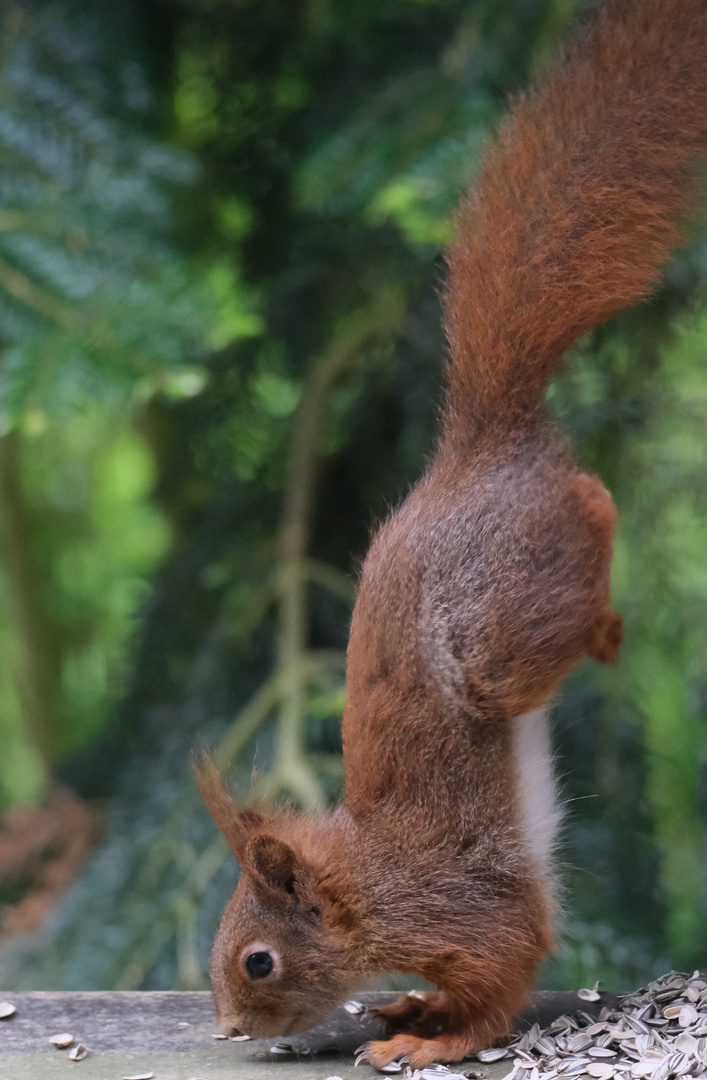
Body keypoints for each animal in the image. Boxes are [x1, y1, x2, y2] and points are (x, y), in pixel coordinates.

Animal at [196, 0, 707, 1062]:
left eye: (257, 961)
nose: (227, 1029)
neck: (366, 887)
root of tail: (474, 447)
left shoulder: (462, 912)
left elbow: (499, 976)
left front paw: (428, 1039)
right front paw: (406, 1009)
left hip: (504, 622)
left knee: (590, 504)